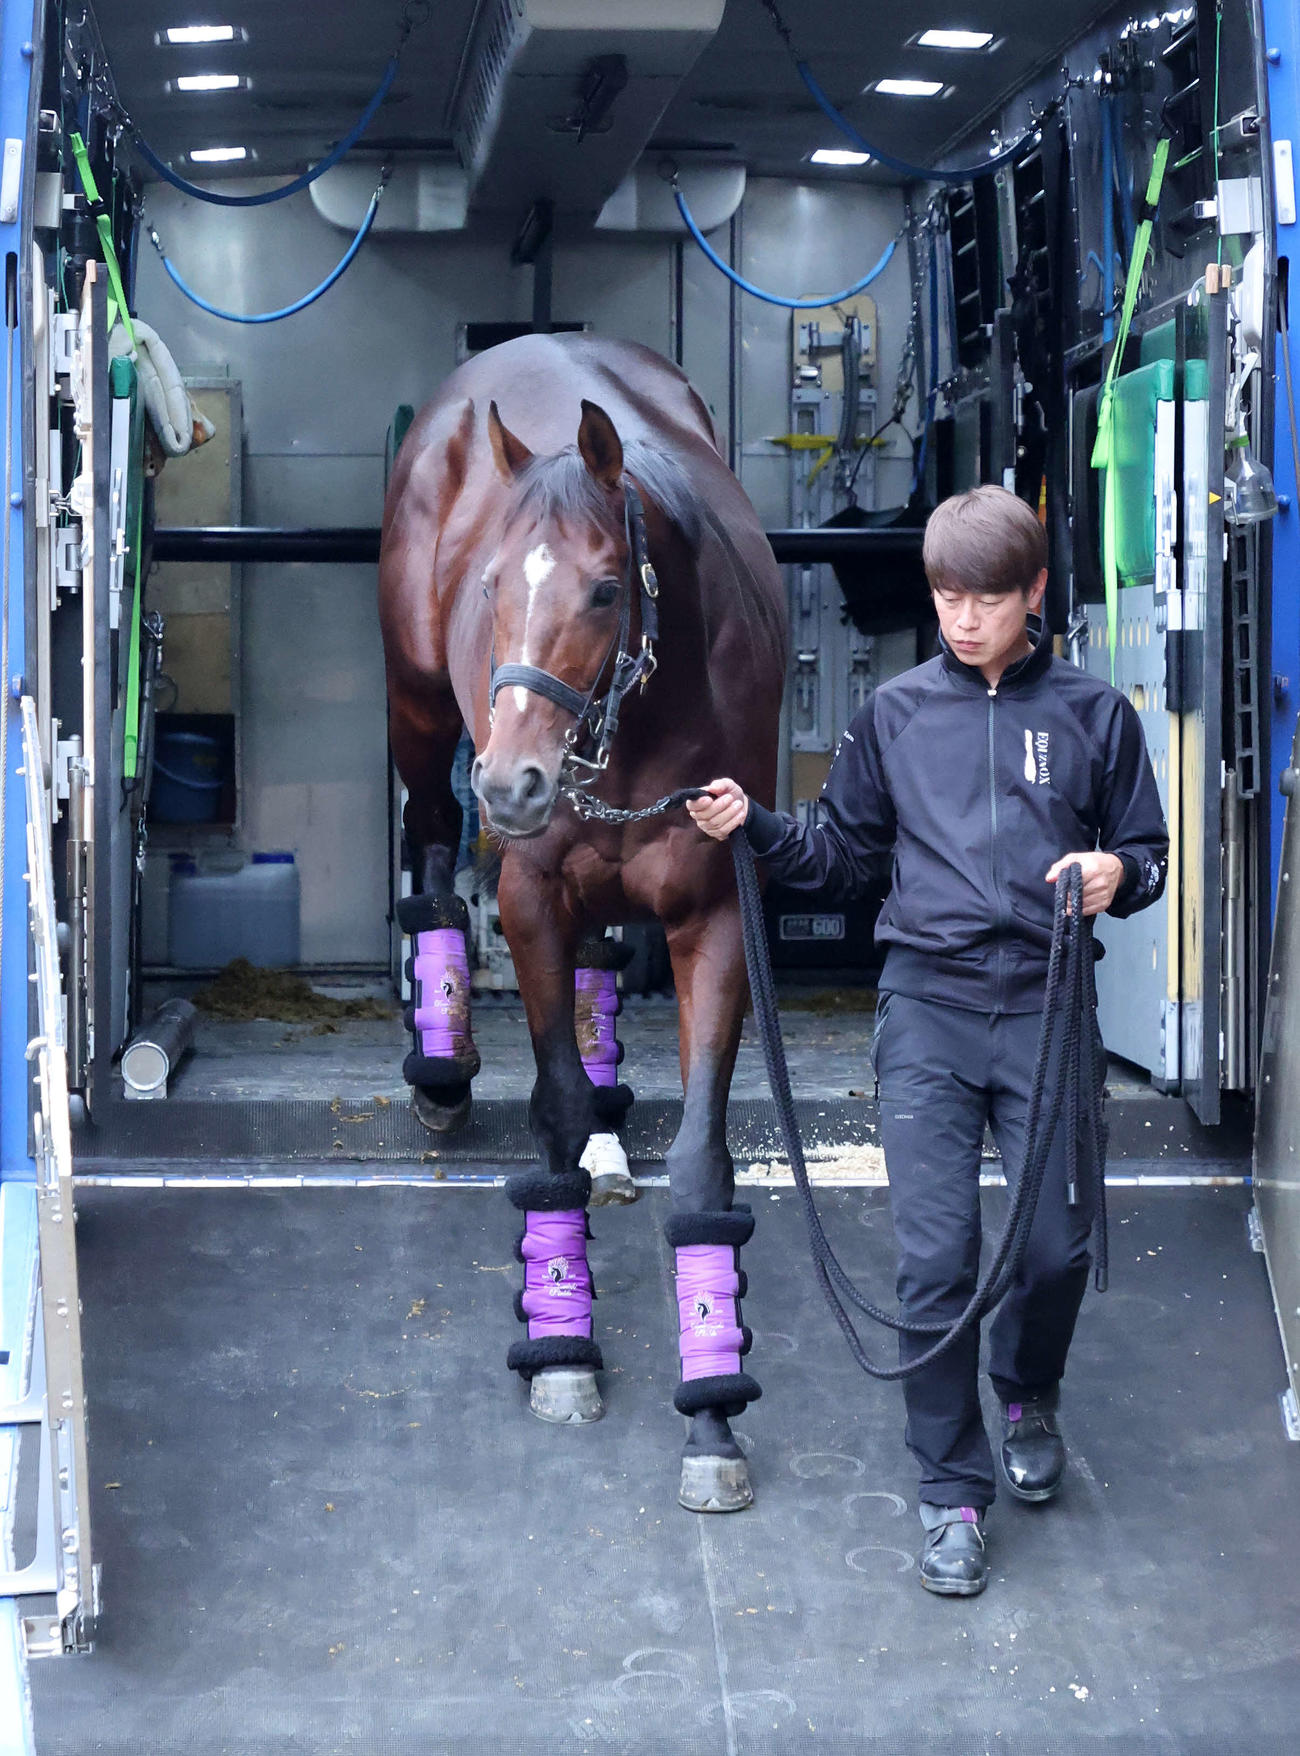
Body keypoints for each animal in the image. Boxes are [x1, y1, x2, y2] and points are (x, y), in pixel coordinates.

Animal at [378, 333, 786, 1511]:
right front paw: (564, 1346)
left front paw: (713, 1411)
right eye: (489, 585)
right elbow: (551, 1104)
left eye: (607, 590)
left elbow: (701, 1161)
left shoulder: (715, 914)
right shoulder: (529, 902)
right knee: (432, 842)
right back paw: (443, 1067)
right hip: (418, 709)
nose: (514, 784)